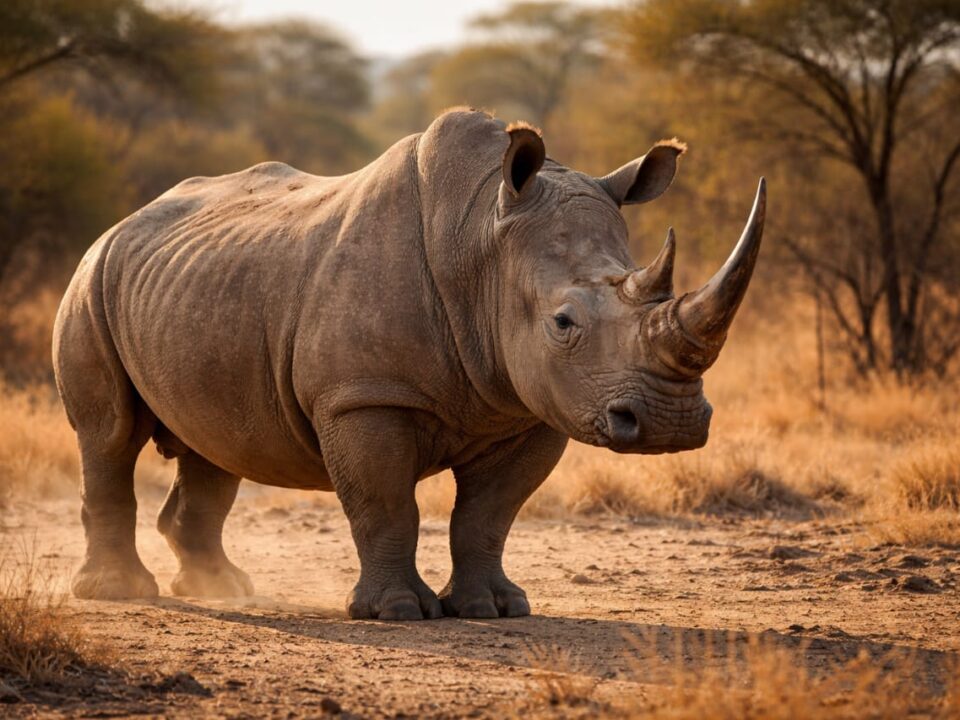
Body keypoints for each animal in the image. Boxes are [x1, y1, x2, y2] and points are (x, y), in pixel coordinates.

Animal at [53, 109, 765, 620]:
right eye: (563, 323)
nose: (671, 425)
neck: (483, 244)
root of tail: (125, 221)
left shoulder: (531, 407)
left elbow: (488, 515)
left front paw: (494, 609)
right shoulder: (364, 395)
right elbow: (386, 503)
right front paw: (397, 612)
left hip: (196, 287)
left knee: (216, 442)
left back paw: (223, 588)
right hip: (90, 280)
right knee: (109, 435)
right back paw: (121, 594)